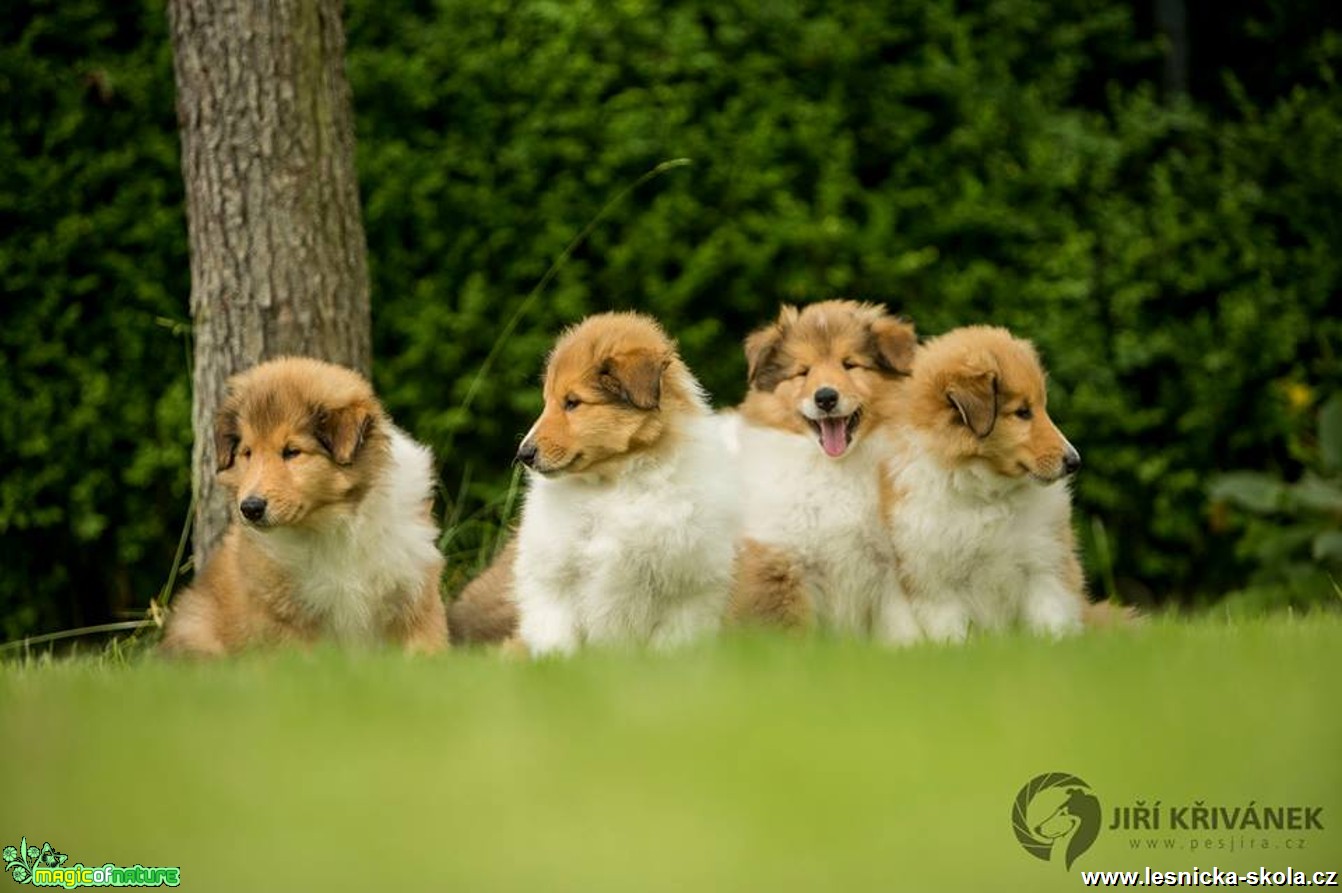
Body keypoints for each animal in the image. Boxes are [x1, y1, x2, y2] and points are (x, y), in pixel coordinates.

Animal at [161, 354, 445, 655]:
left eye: (292, 451)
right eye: (247, 453)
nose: (250, 508)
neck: (336, 523)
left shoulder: (416, 595)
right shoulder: (285, 616)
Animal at [724, 299, 923, 641]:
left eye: (850, 364)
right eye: (803, 371)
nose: (826, 397)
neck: (834, 467)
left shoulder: (891, 567)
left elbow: (902, 629)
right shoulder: (784, 562)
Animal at [880, 323, 1089, 636]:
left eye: (1042, 407)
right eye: (1022, 412)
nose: (1074, 462)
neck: (988, 492)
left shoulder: (1043, 566)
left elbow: (1051, 623)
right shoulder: (937, 585)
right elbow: (953, 634)